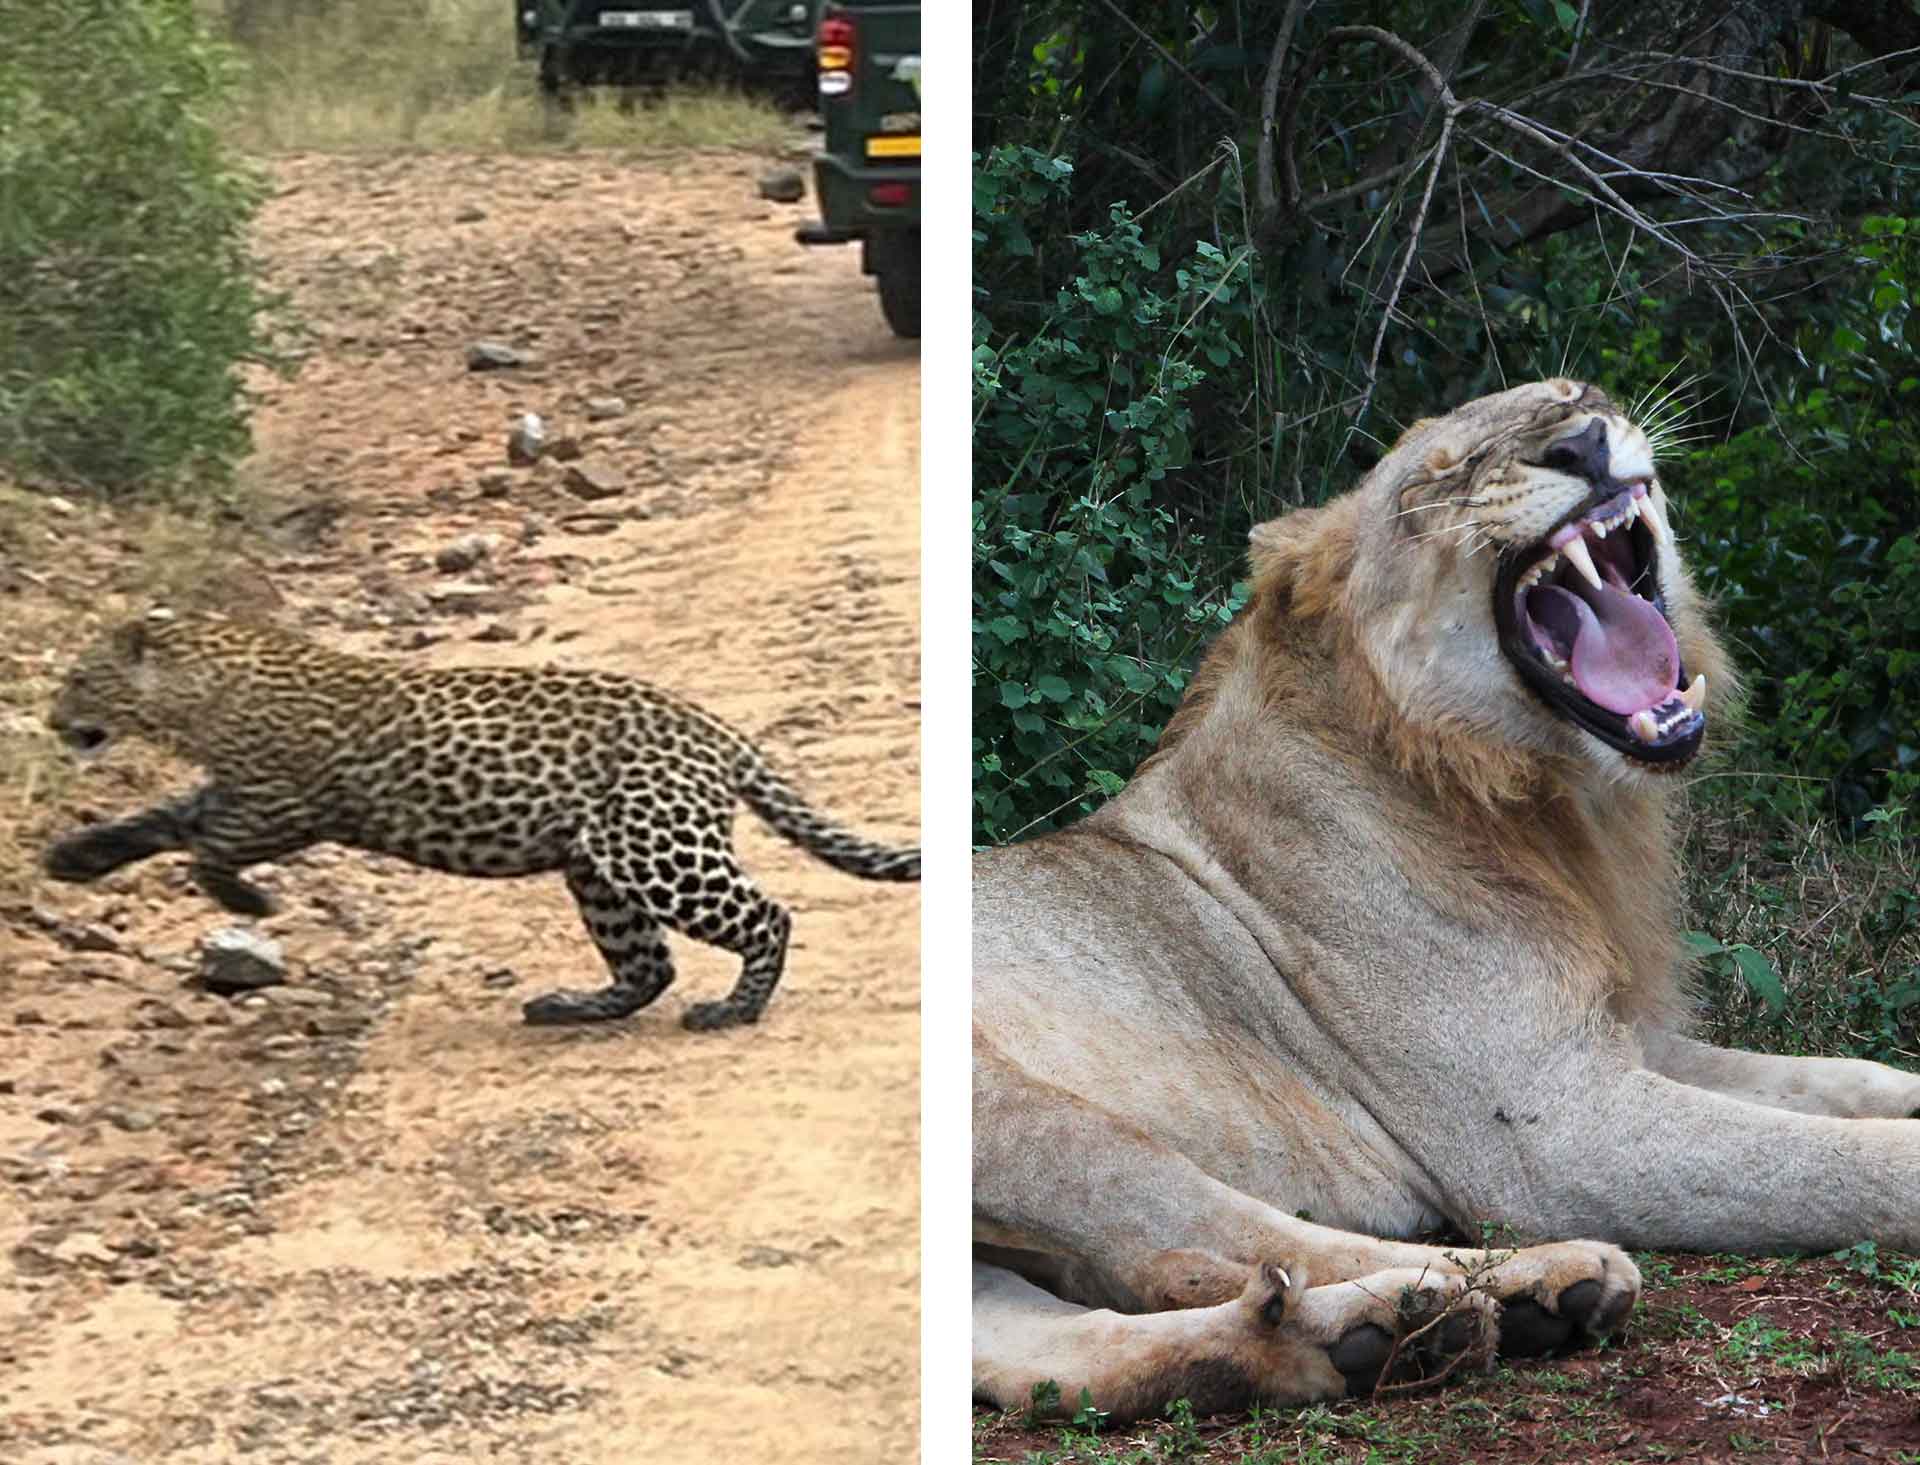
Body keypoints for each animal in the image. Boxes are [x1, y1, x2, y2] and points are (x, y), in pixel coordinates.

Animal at [43, 606, 913, 1029]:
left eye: (81, 677)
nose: (53, 722)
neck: (195, 693)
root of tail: (719, 731)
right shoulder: (236, 792)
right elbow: (163, 818)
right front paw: (75, 856)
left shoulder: (279, 802)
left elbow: (203, 845)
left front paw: (246, 901)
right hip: (597, 866)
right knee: (648, 965)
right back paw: (570, 1007)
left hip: (656, 848)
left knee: (769, 915)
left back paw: (733, 1010)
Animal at [967, 378, 1920, 1420]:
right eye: (1440, 474)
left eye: (1576, 394)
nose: (1585, 444)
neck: (1546, 801)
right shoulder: (1554, 1127)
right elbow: (1835, 1158)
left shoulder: (1615, 1037)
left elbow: (1847, 1078)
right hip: (1011, 1108)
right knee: (1196, 1239)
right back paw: (1507, 1285)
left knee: (1049, 1354)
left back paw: (1381, 1333)